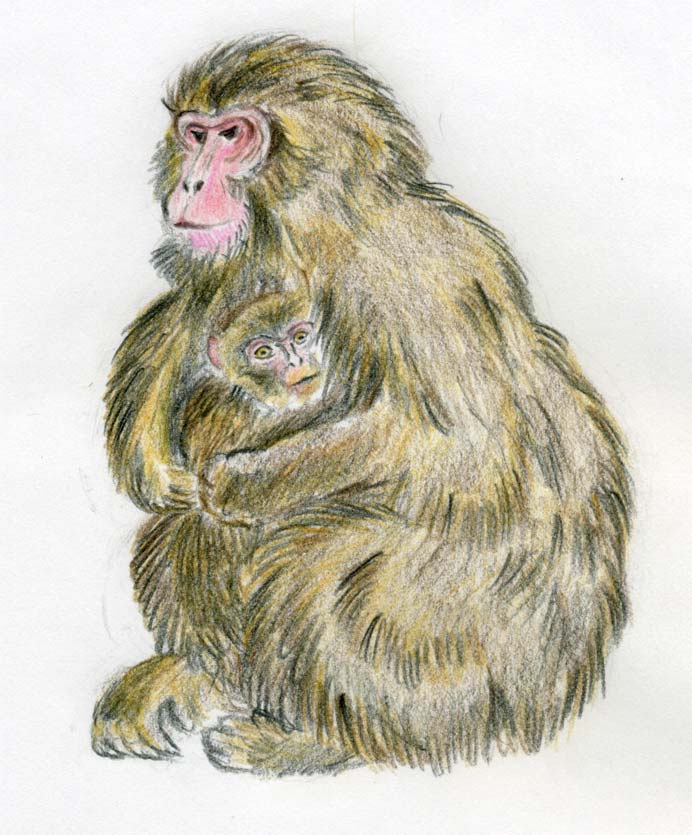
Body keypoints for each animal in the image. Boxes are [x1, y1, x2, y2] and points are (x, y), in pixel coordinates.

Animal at [96, 35, 632, 775]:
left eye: (233, 136)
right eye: (194, 134)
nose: (190, 185)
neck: (308, 226)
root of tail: (539, 701)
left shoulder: (410, 272)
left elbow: (457, 443)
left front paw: (237, 482)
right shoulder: (234, 276)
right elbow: (185, 330)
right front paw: (148, 452)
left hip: (457, 644)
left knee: (314, 566)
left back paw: (316, 739)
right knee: (183, 531)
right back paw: (201, 676)